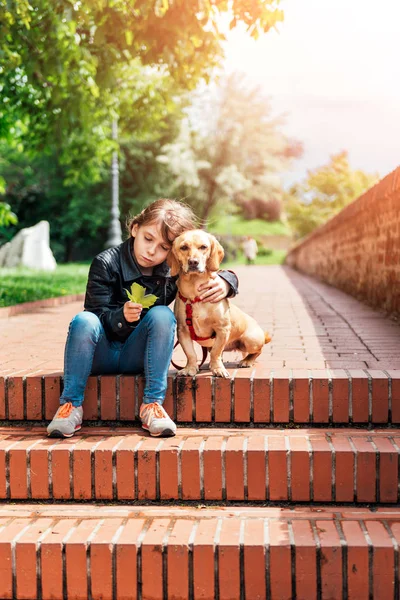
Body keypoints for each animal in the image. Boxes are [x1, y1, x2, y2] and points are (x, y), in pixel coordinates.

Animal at [169, 227, 272, 378]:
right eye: (184, 247)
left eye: (203, 247)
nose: (193, 262)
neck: (196, 293)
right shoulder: (182, 331)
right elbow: (191, 354)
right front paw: (190, 368)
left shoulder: (222, 329)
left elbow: (216, 352)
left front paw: (218, 369)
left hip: (251, 340)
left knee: (257, 351)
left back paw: (246, 361)